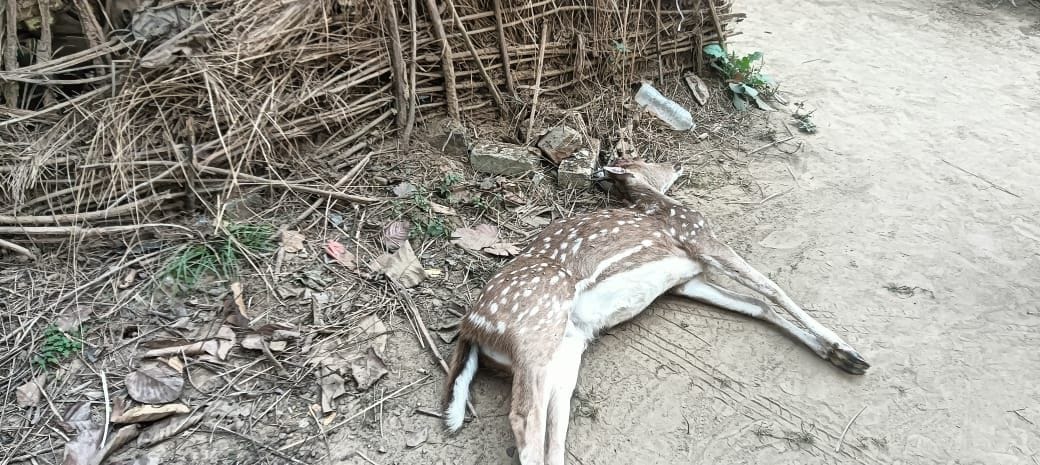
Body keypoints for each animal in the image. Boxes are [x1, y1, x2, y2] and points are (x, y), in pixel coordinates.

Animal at [442, 156, 869, 465]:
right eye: (638, 158)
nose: (677, 161)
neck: (663, 205)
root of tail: (472, 329)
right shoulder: (701, 239)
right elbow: (772, 289)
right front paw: (850, 351)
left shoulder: (686, 280)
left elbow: (758, 304)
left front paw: (839, 356)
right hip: (536, 326)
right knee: (524, 421)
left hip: (564, 352)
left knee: (551, 423)